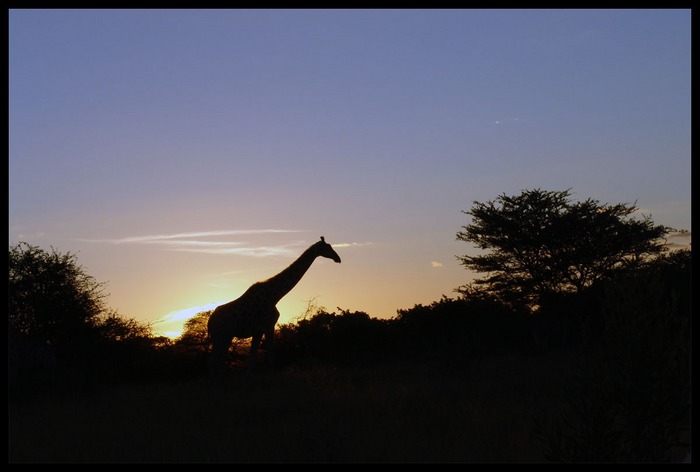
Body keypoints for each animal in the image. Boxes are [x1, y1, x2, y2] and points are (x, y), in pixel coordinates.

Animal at [206, 236, 340, 376]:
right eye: (327, 247)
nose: (338, 258)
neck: (274, 296)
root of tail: (210, 322)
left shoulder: (258, 331)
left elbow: (251, 361)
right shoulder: (269, 326)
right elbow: (271, 358)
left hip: (224, 337)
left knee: (217, 361)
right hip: (221, 335)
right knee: (215, 361)